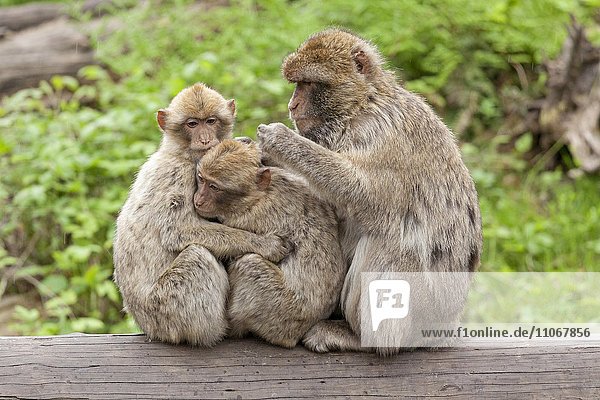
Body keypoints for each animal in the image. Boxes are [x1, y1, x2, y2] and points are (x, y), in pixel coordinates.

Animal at [115, 83, 290, 346]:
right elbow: (178, 230)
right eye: (192, 124)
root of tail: (146, 326)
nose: (206, 138)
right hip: (165, 310)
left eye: (210, 121)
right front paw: (264, 244)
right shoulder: (177, 174)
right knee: (198, 256)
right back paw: (218, 330)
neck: (183, 153)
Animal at [196, 139, 346, 348]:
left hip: (281, 313)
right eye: (201, 179)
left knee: (249, 264)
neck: (258, 196)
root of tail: (296, 334)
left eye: (214, 187)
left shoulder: (246, 218)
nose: (199, 200)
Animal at [258, 29, 482, 356]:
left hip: (424, 310)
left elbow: (368, 196)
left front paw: (282, 142)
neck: (360, 108)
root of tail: (445, 326)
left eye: (309, 84)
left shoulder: (386, 136)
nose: (292, 105)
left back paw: (362, 338)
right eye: (296, 83)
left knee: (390, 241)